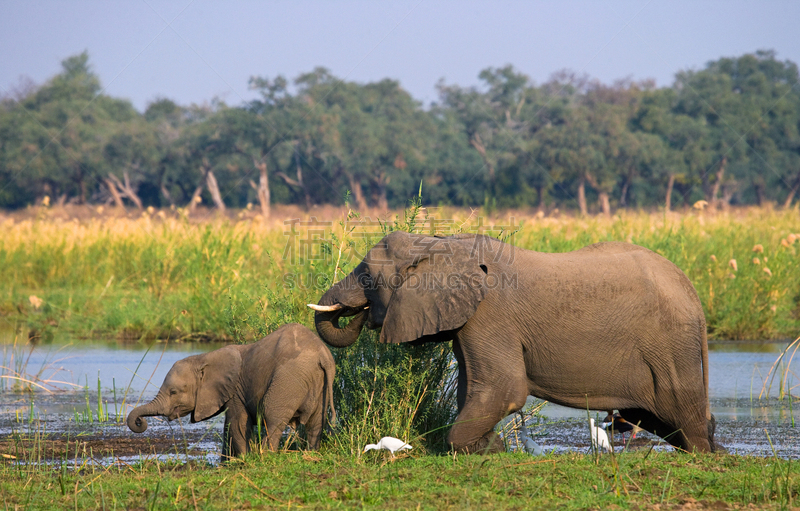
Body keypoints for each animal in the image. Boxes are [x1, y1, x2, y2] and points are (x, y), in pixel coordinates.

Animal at [127, 322, 338, 458]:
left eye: (173, 392)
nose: (139, 422)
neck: (204, 357)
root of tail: (323, 355)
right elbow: (229, 428)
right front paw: (227, 464)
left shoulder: (235, 391)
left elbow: (236, 424)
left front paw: (243, 462)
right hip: (319, 384)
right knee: (316, 422)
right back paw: (311, 453)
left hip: (288, 380)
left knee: (272, 418)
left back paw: (265, 456)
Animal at [310, 230, 720, 454]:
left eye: (366, 275)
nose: (360, 313)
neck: (440, 244)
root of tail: (693, 293)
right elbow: (473, 387)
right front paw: (492, 448)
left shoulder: (490, 315)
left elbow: (503, 388)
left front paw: (488, 448)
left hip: (671, 347)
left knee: (684, 415)